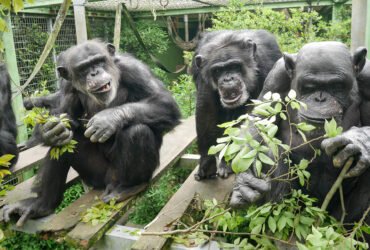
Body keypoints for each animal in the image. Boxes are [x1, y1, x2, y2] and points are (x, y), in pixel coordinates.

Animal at [3, 40, 181, 226]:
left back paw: (128, 188)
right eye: (83, 68)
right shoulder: (67, 86)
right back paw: (40, 204)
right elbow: (62, 113)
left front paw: (107, 119)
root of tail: (107, 183)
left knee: (138, 131)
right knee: (65, 142)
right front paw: (49, 131)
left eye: (99, 61)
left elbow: (164, 101)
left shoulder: (134, 69)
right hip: (94, 176)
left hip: (117, 175)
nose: (95, 73)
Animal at [192, 30, 282, 181]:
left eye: (234, 66)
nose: (228, 79)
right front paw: (207, 162)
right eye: (217, 71)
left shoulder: (268, 64)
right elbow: (206, 108)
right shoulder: (202, 75)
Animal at [230, 41, 370, 234]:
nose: (320, 98)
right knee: (271, 149)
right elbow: (260, 119)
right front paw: (245, 182)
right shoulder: (276, 76)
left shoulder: (368, 77)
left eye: (336, 86)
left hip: (334, 218)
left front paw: (359, 140)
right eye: (309, 87)